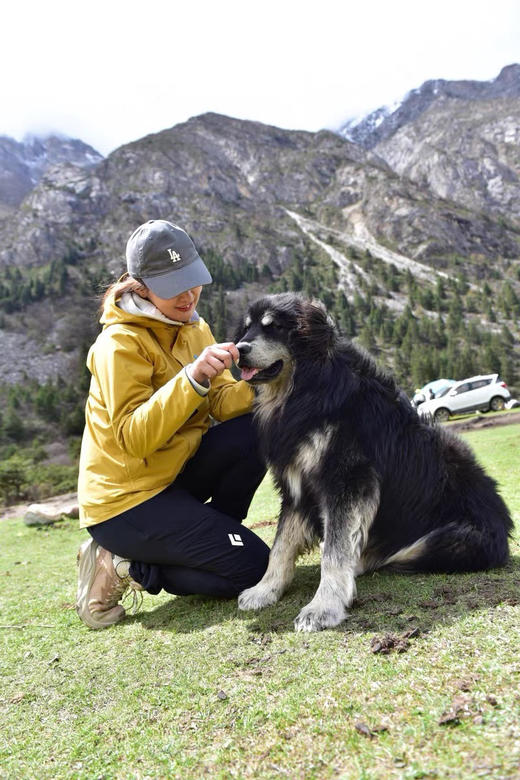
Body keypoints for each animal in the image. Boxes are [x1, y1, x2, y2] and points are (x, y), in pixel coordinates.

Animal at [236, 296, 512, 632]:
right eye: (246, 328)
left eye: (273, 326)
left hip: (451, 540)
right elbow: (281, 546)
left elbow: (335, 551)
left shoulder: (349, 480)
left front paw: (323, 608)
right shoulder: (297, 486)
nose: (238, 349)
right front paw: (265, 590)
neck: (307, 386)